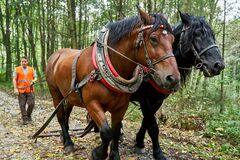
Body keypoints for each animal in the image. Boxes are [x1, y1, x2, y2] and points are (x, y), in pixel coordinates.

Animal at [45, 7, 180, 160]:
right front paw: (98, 153)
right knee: (61, 117)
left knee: (67, 113)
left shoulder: (121, 107)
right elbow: (106, 132)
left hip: (69, 96)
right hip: (55, 93)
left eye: (173, 40)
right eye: (154, 38)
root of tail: (56, 55)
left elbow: (115, 131)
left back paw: (64, 137)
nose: (173, 79)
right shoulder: (92, 103)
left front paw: (114, 155)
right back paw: (68, 142)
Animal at [129, 11, 225, 159]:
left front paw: (139, 142)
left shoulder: (157, 101)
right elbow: (153, 126)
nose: (218, 65)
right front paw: (158, 152)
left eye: (212, 35)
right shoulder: (145, 99)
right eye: (196, 34)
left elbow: (146, 121)